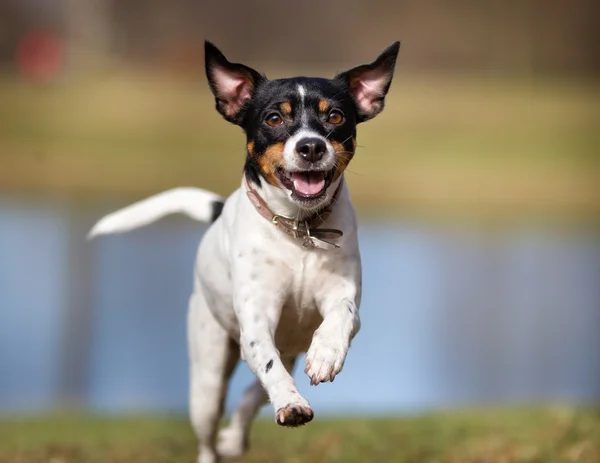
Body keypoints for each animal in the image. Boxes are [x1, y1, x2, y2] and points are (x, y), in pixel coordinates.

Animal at [88, 40, 398, 463]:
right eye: (273, 118)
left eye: (334, 116)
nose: (311, 146)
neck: (298, 230)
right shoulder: (256, 321)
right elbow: (268, 367)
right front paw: (291, 403)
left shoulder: (341, 296)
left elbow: (340, 318)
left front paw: (326, 354)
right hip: (207, 379)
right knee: (213, 430)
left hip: (285, 349)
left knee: (252, 396)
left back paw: (236, 436)